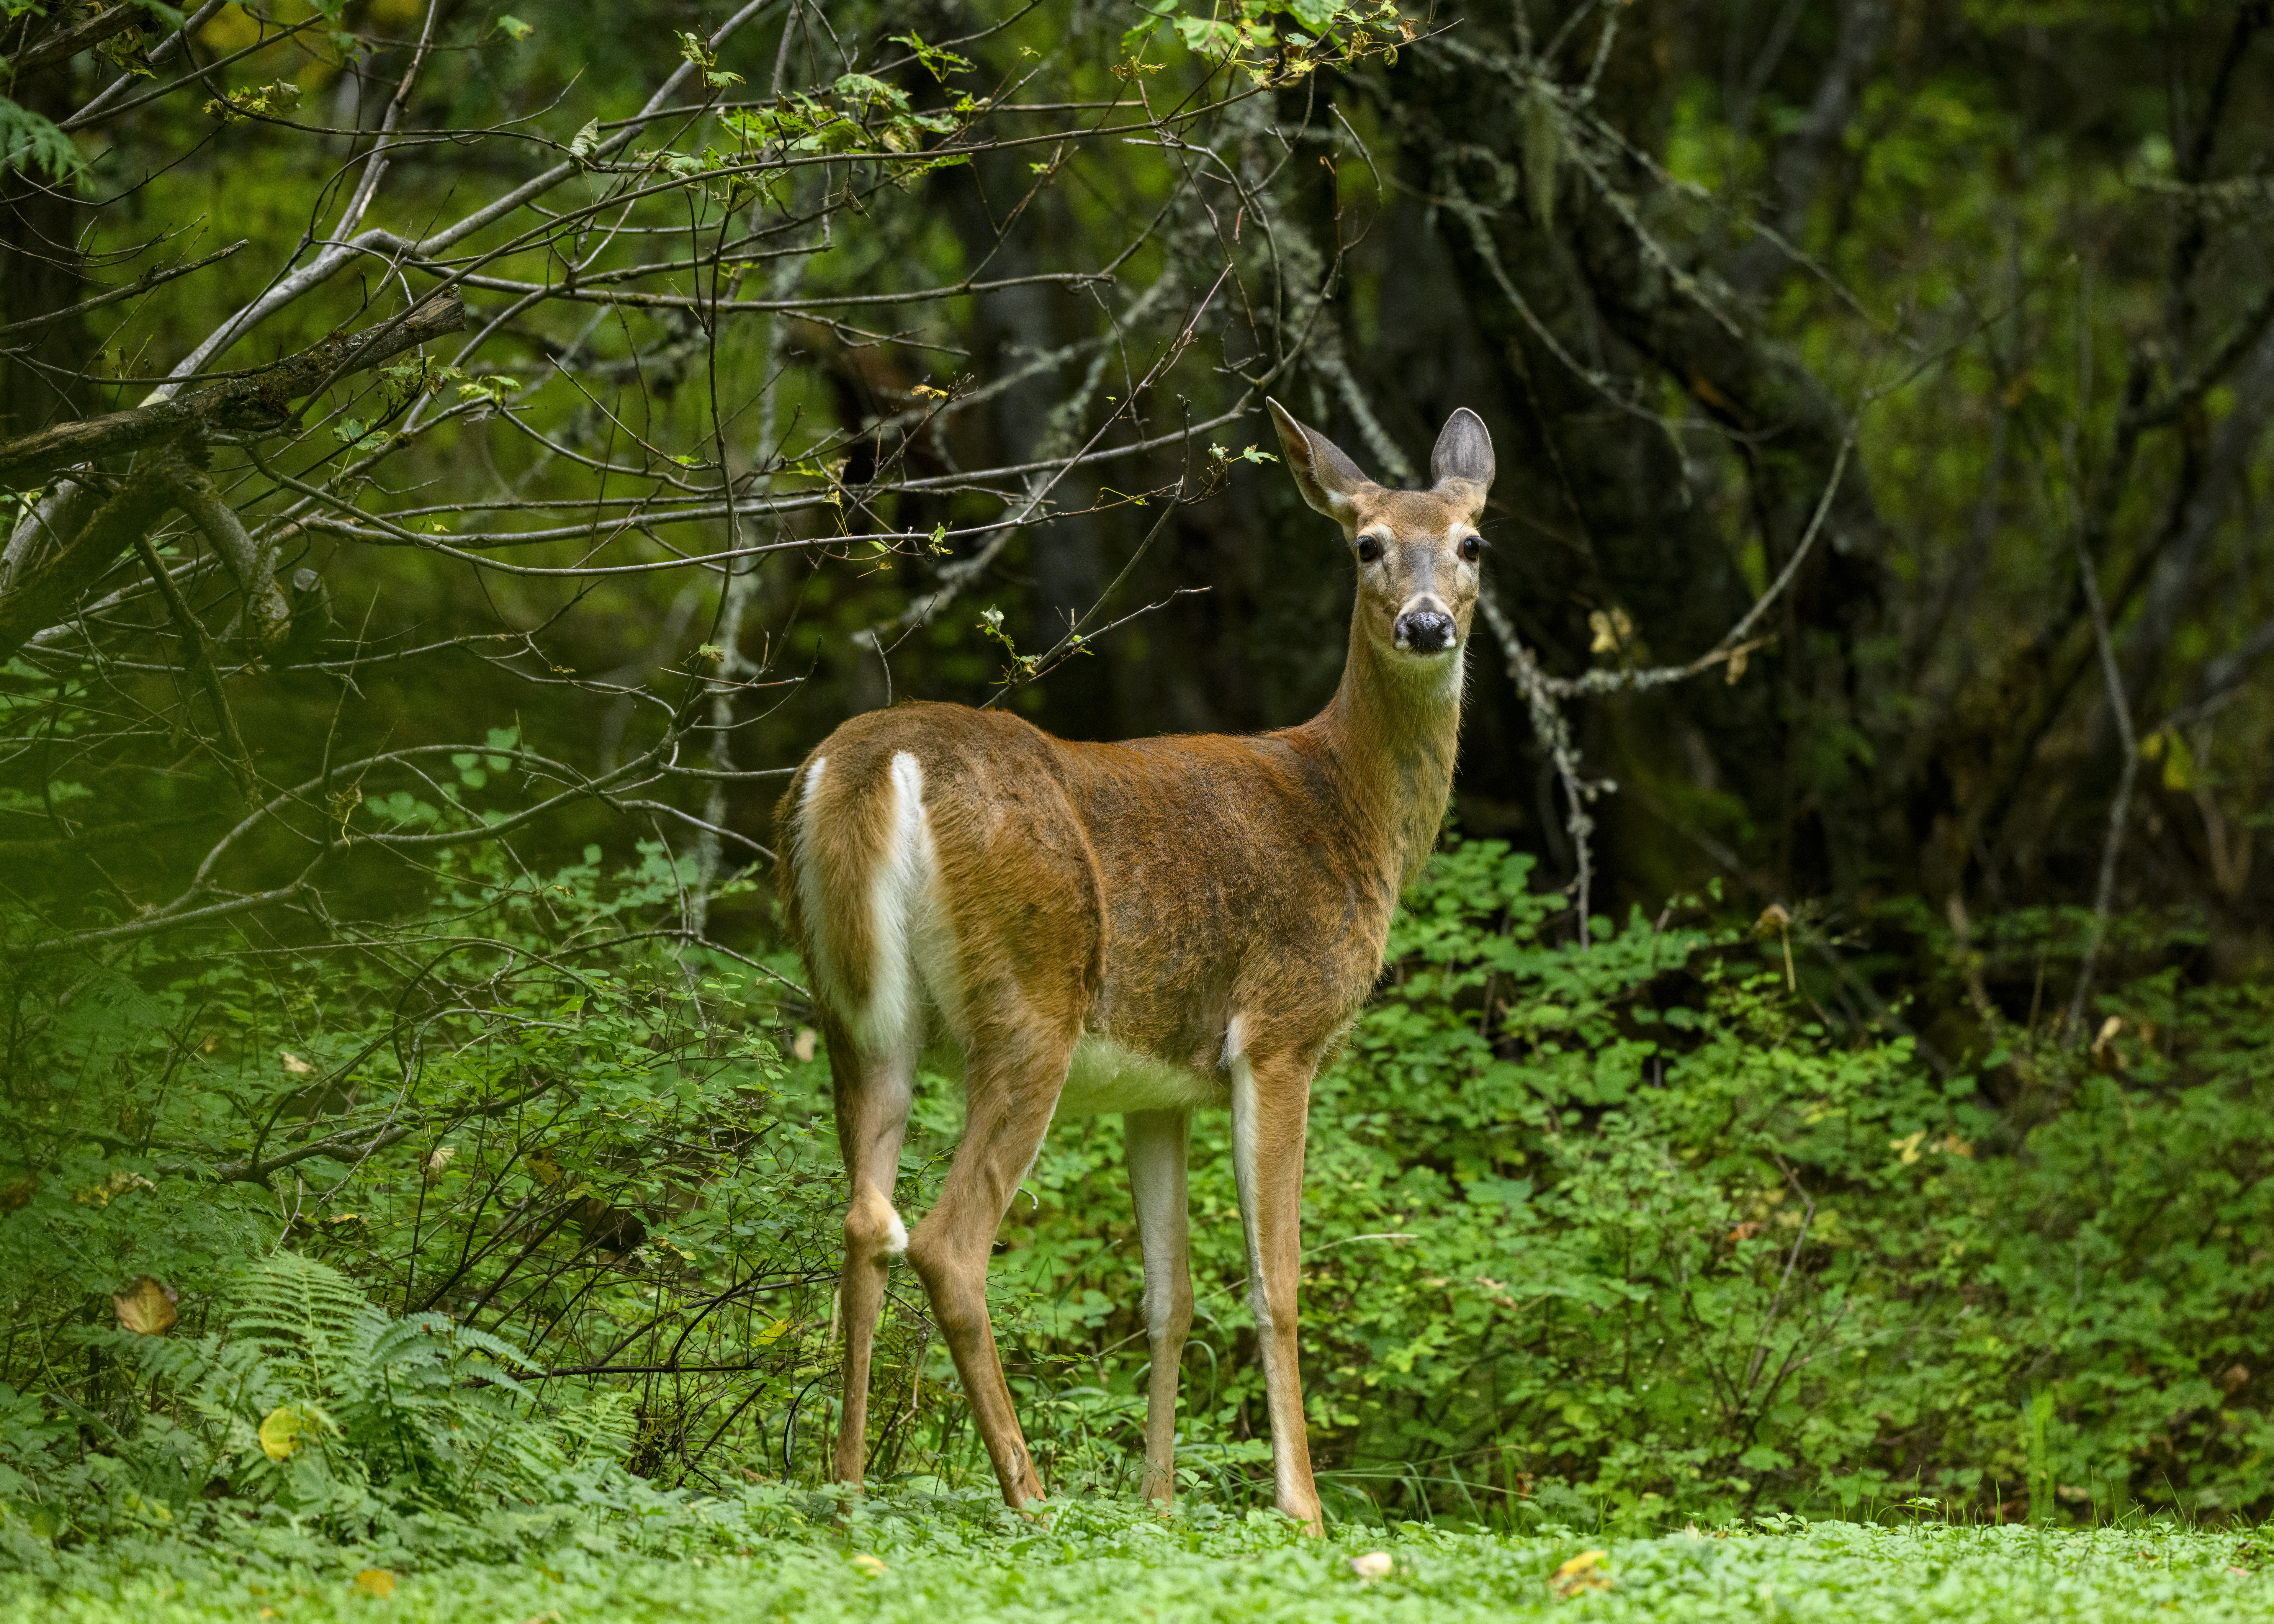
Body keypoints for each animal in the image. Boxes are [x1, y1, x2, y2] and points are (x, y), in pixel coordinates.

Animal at [773, 398, 1493, 1534]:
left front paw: (1156, 1502)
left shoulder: (1157, 1091)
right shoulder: (1279, 1032)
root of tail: (868, 765)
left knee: (860, 1222)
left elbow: (1172, 1292)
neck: (1350, 808)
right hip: (1028, 1002)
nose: (1428, 624)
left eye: (1470, 544)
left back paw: (845, 1490)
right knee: (946, 1243)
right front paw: (1303, 1509)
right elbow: (1276, 1279)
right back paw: (1029, 1494)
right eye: (1366, 545)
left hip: (856, 1019)